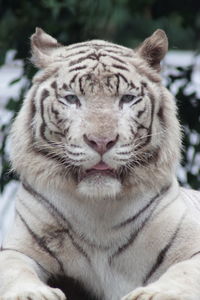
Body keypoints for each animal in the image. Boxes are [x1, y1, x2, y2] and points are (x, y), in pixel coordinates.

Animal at [0, 27, 200, 298]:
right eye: (71, 98)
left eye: (127, 98)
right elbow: (12, 269)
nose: (102, 141)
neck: (99, 209)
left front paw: (153, 293)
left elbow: (185, 271)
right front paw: (32, 293)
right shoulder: (19, 247)